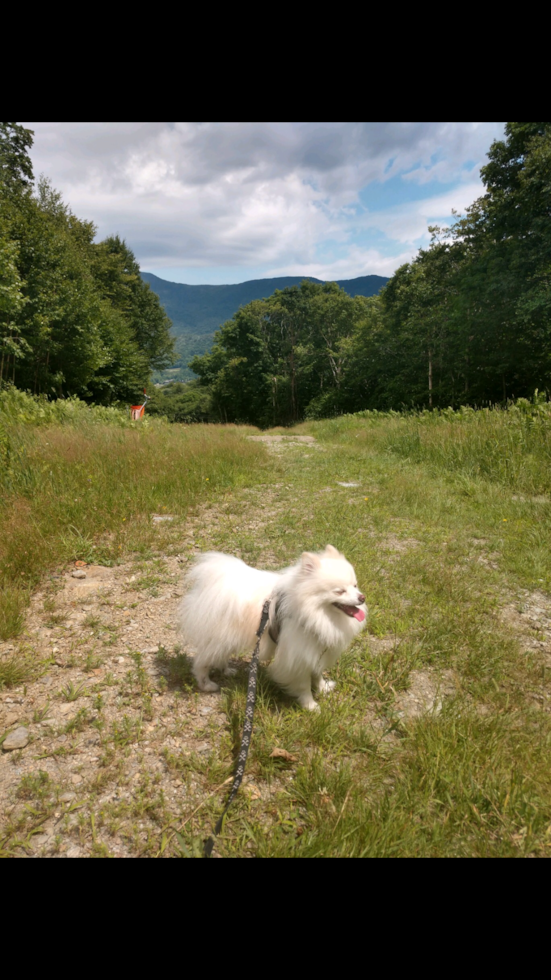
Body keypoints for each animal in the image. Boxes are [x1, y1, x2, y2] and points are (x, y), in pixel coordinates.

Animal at [180, 544, 366, 712]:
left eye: (355, 585)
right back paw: (206, 684)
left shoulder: (315, 649)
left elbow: (317, 672)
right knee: (201, 662)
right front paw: (310, 706)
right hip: (219, 637)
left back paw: (227, 670)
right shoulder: (297, 656)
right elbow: (304, 684)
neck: (316, 612)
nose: (362, 598)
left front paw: (323, 687)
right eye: (339, 591)